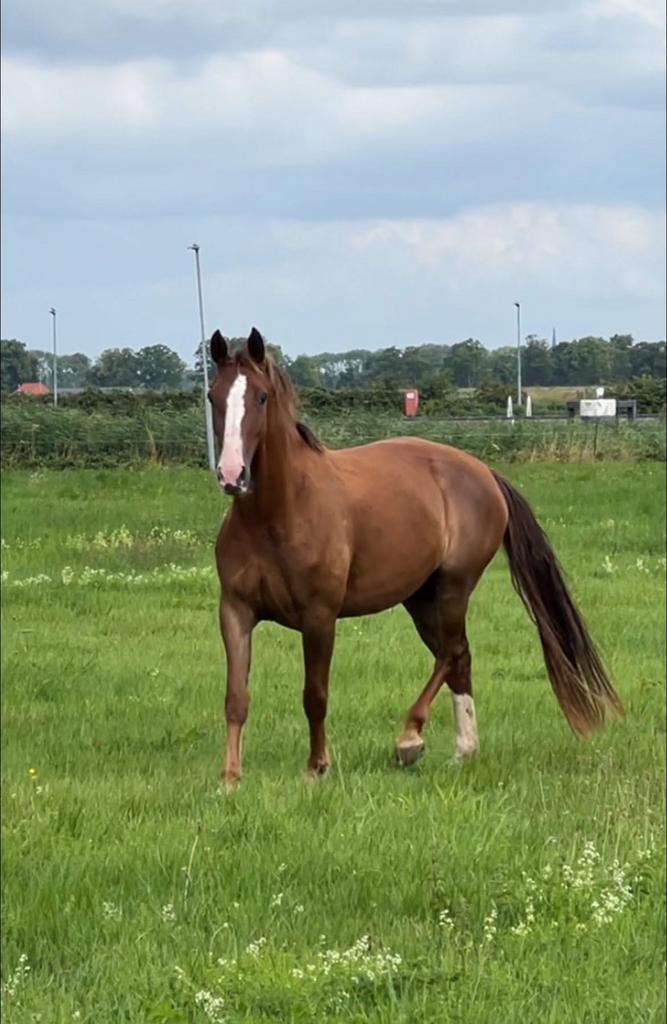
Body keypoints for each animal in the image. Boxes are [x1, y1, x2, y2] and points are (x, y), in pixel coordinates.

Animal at [209, 328, 624, 789]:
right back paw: (464, 750)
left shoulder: (319, 617)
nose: (232, 474)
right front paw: (229, 779)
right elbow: (235, 696)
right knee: (460, 658)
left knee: (452, 651)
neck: (278, 514)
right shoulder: (236, 611)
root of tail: (483, 471)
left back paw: (410, 739)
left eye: (261, 397)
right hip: (420, 598)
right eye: (213, 395)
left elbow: (314, 695)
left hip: (454, 586)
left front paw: (316, 767)